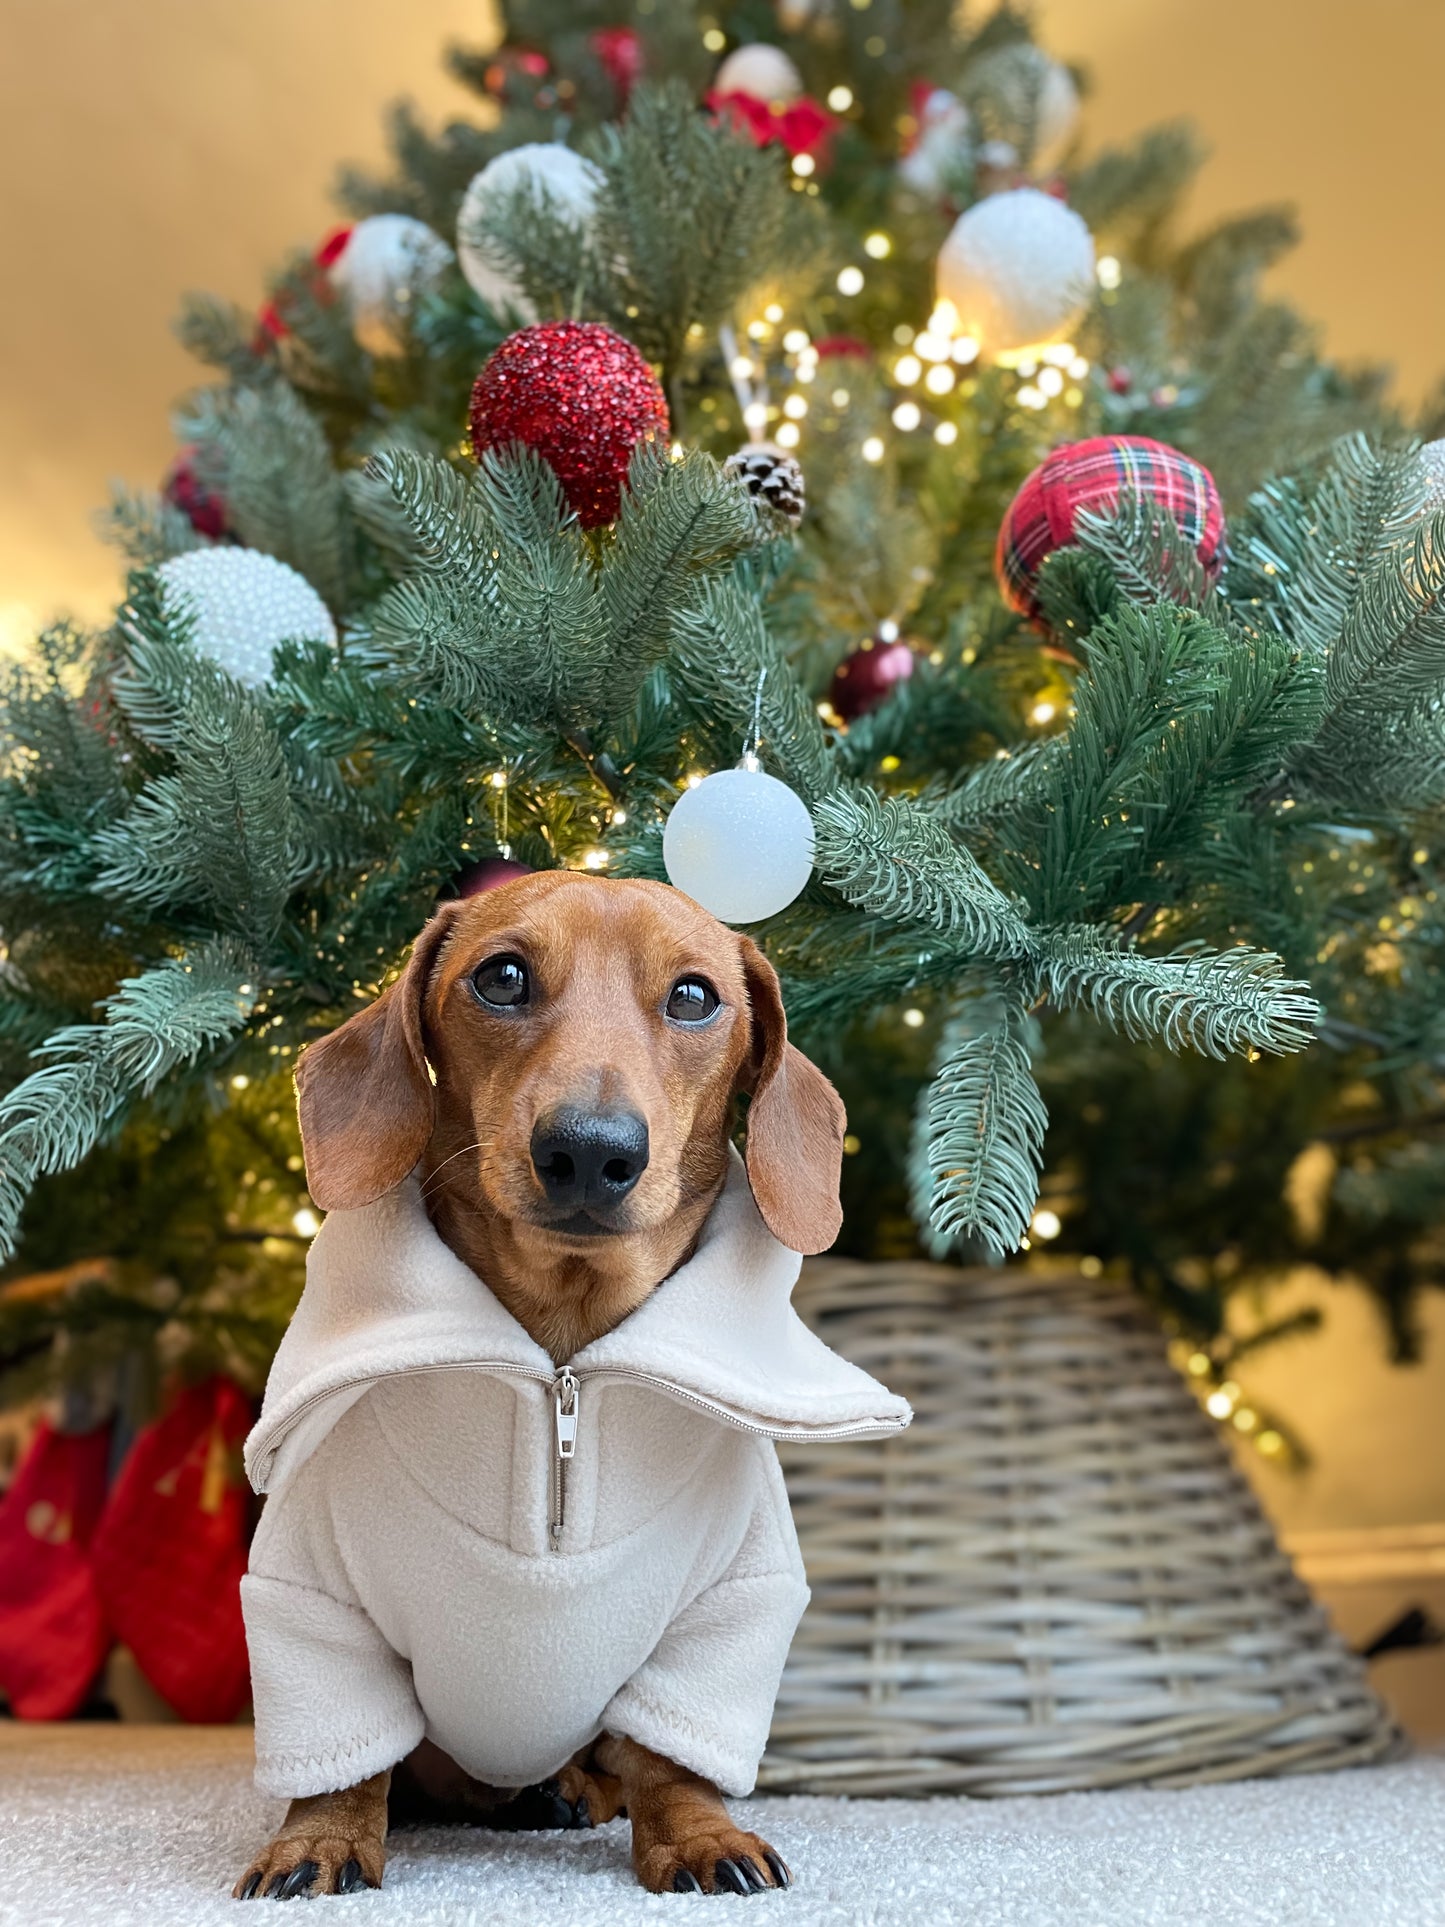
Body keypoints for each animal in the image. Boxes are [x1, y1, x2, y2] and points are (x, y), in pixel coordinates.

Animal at [229, 874, 859, 1896]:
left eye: (694, 996)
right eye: (503, 977)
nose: (590, 1152)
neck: (560, 1358)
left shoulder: (734, 1602)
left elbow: (673, 1756)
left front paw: (698, 1833)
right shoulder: (308, 1599)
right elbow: (341, 1754)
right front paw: (317, 1837)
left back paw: (569, 1788)